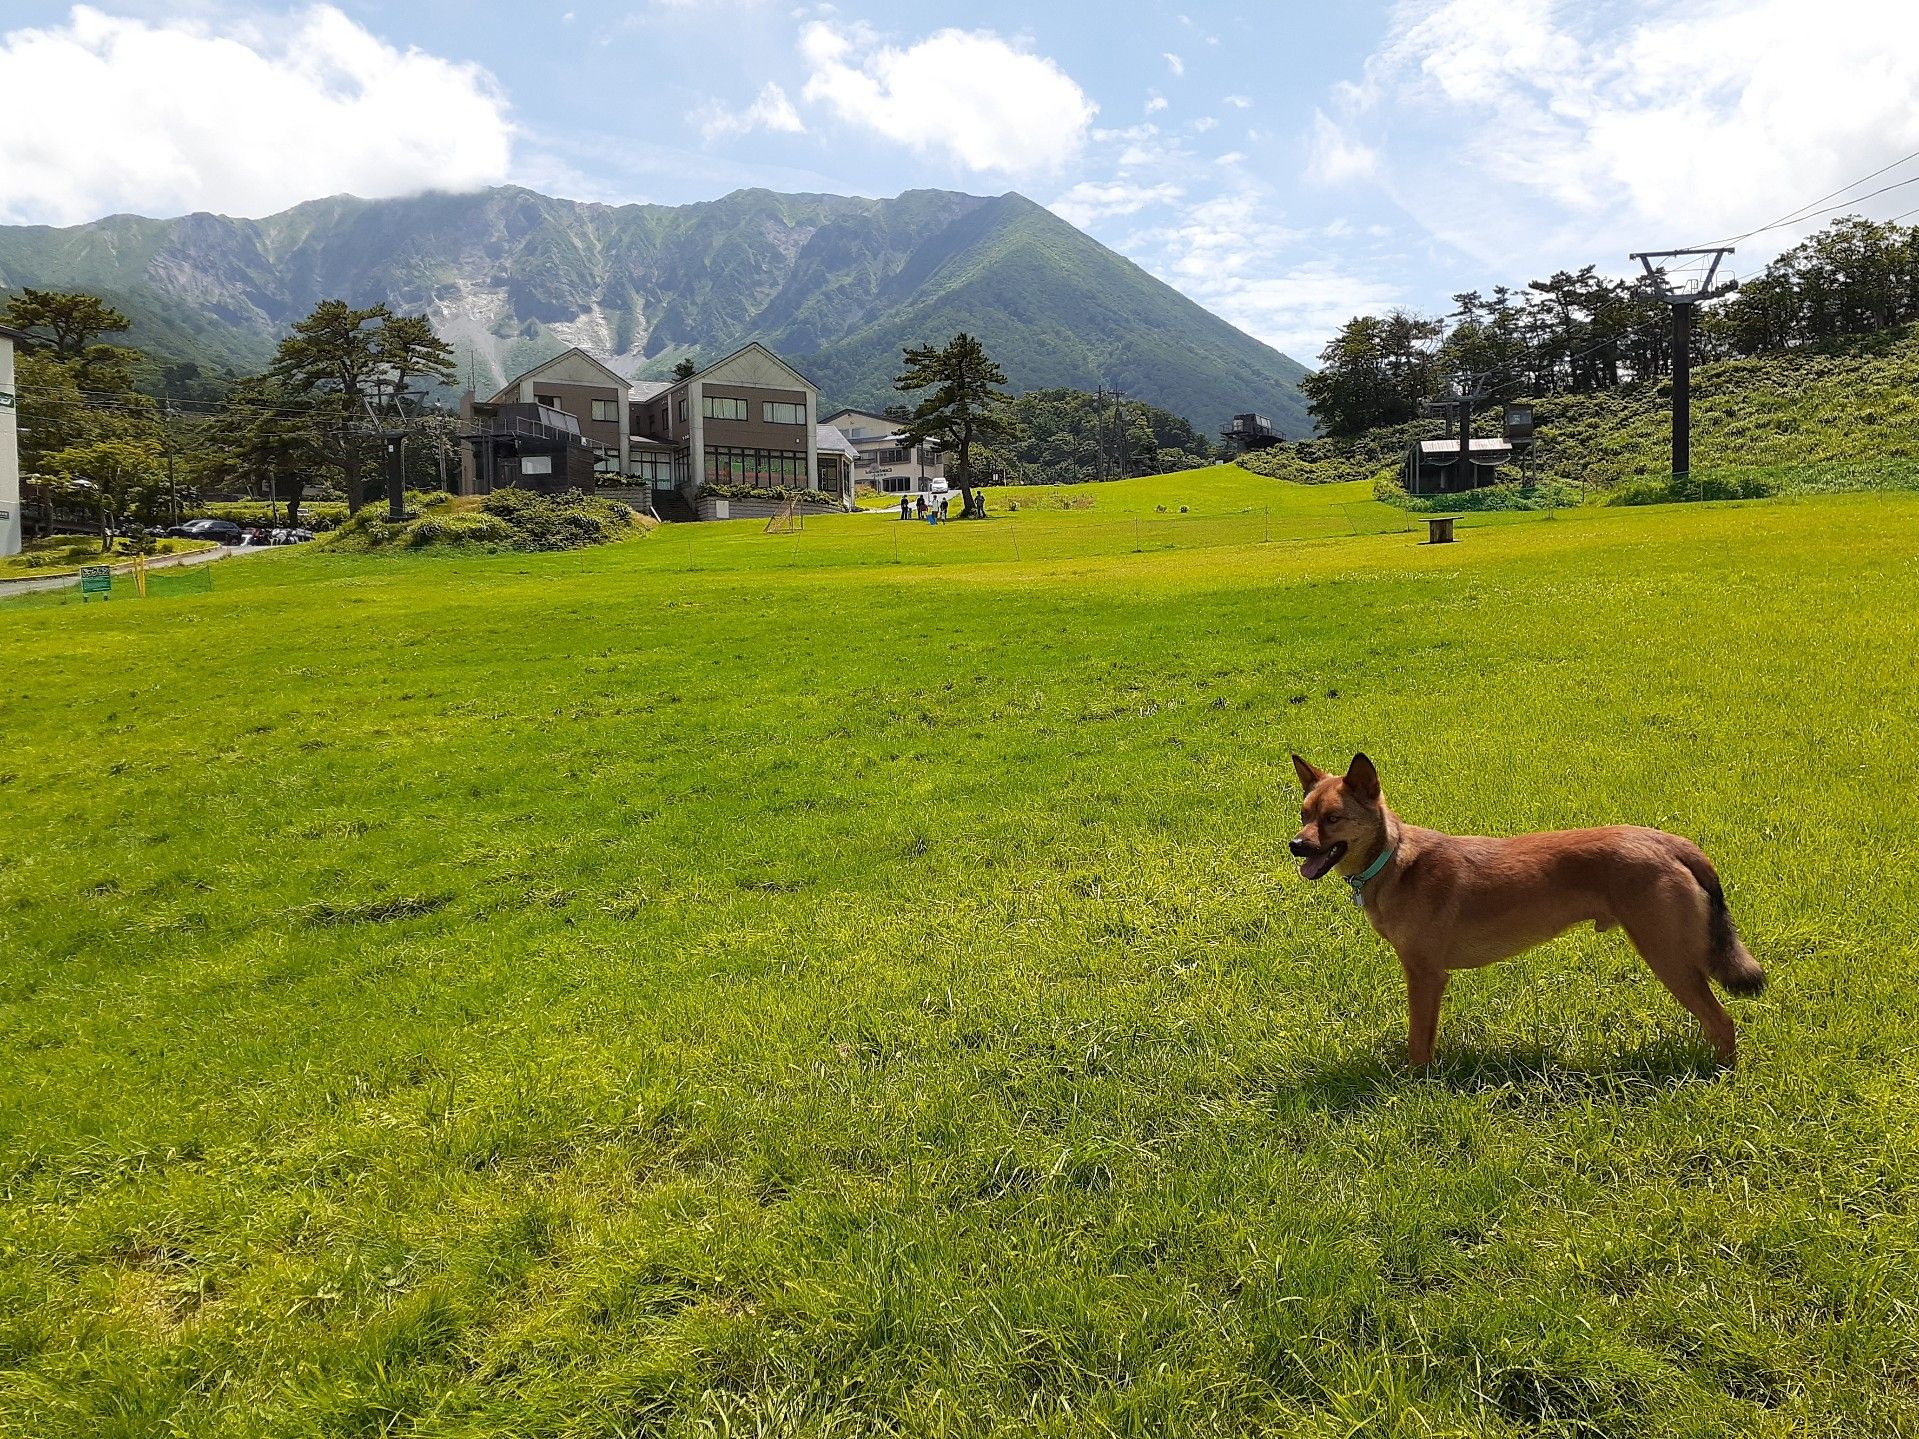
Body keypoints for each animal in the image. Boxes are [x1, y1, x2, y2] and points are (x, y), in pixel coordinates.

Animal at [1289, 755, 1765, 1074]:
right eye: (1304, 814)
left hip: (1669, 956)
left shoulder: (1425, 975)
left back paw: (1719, 1076)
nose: (1295, 845)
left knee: (1721, 1023)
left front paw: (1415, 1083)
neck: (1393, 859)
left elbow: (1418, 1041)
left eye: (1333, 819)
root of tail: (1669, 842)